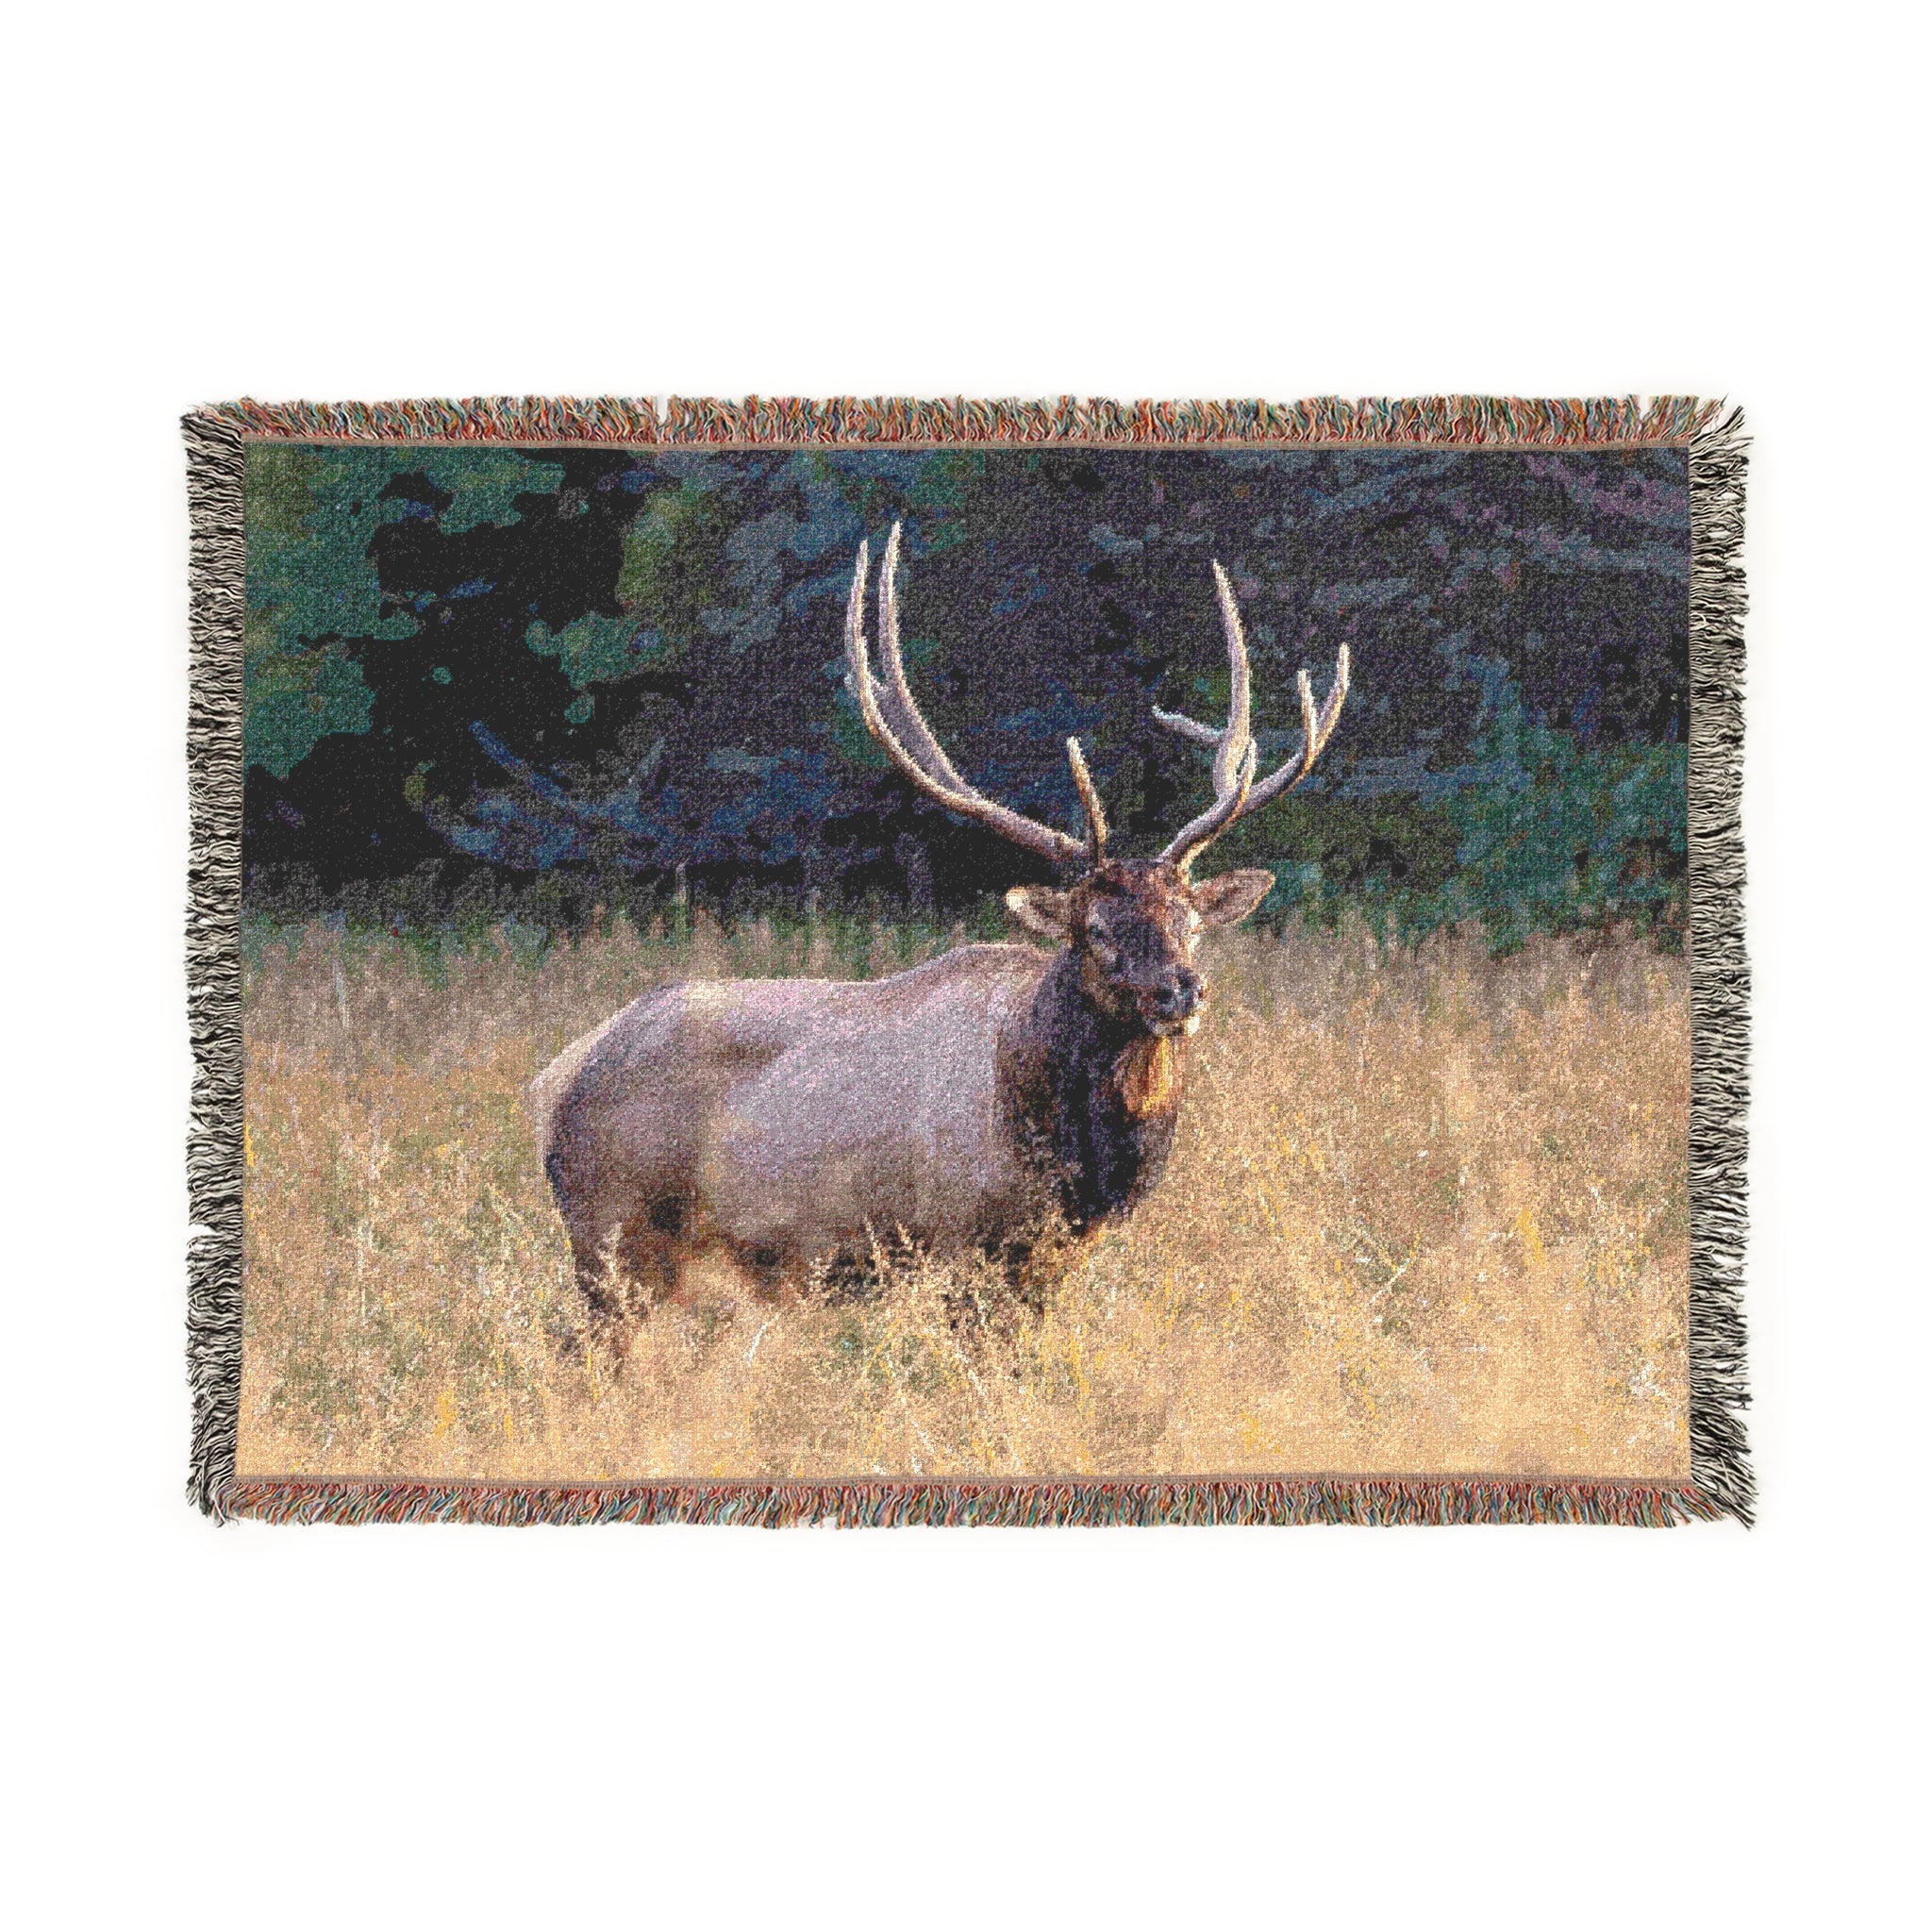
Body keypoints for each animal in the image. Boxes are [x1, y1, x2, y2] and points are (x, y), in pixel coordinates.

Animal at [529, 523, 1348, 1340]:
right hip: (612, 1238)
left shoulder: (1050, 1261)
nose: (1180, 992)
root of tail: (555, 1078)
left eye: (1191, 923)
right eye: (1096, 929)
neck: (1067, 1154)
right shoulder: (960, 1242)